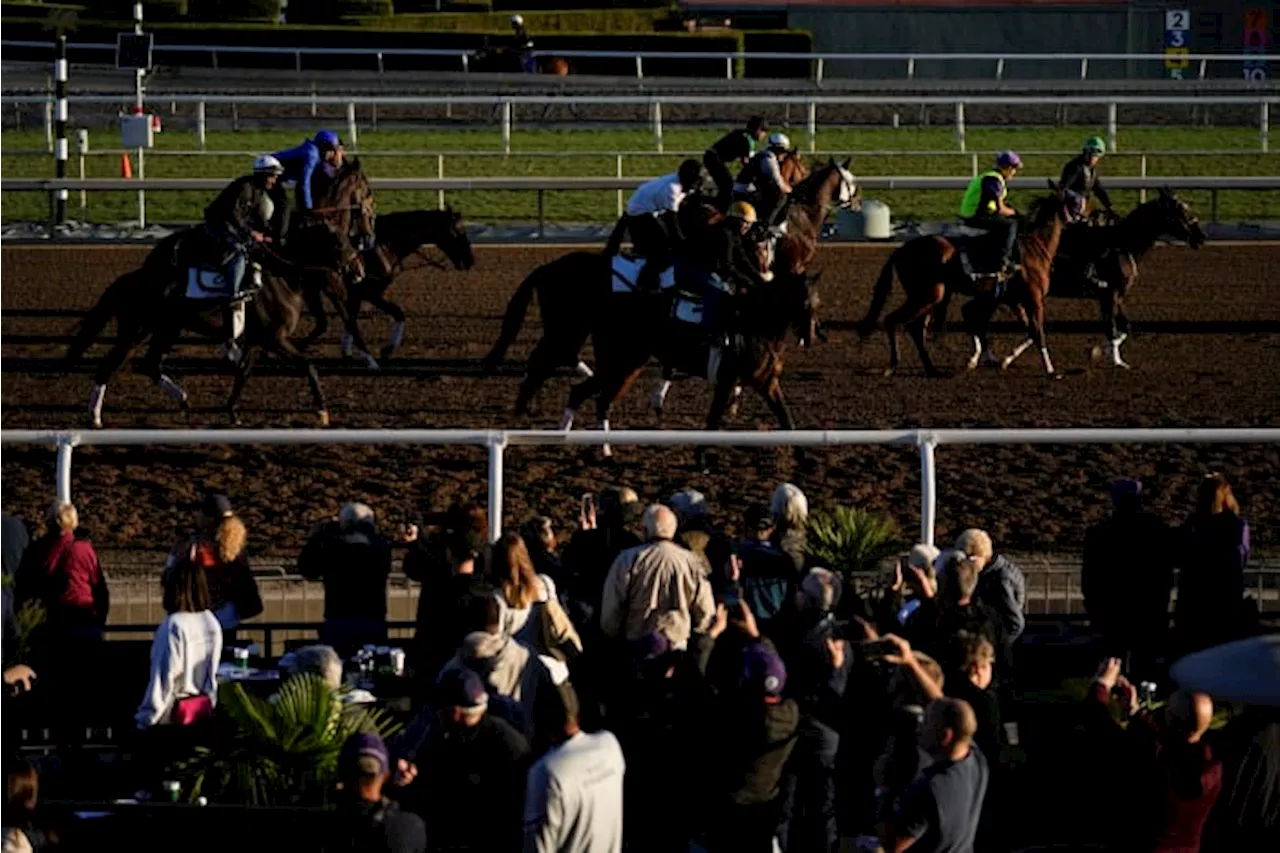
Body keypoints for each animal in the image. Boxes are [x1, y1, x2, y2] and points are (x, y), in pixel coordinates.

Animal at [860, 181, 1070, 376]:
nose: (1075, 215)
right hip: (928, 295)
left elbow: (1028, 330)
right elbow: (1037, 332)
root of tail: (901, 250)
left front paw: (1003, 360)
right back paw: (893, 365)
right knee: (893, 321)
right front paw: (1051, 370)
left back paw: (931, 369)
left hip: (931, 297)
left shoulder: (1012, 300)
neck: (1035, 246)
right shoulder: (1034, 298)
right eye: (1070, 196)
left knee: (916, 329)